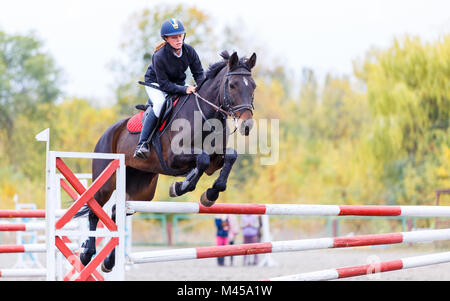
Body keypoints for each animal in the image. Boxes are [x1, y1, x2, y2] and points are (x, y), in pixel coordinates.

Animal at [78, 51, 256, 272]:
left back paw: (109, 262)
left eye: (253, 86)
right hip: (106, 181)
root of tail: (108, 132)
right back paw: (87, 253)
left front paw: (210, 194)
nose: (247, 125)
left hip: (142, 190)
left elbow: (229, 157)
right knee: (95, 210)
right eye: (232, 85)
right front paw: (180, 187)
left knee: (116, 212)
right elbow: (202, 159)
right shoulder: (175, 158)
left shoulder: (215, 160)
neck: (205, 116)